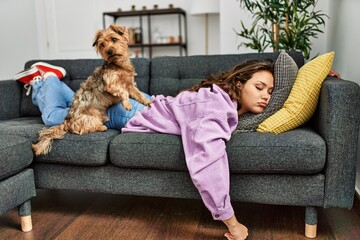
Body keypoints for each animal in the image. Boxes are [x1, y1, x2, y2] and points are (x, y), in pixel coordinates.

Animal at [32, 24, 152, 156]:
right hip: (91, 117)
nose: (109, 51)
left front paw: (148, 102)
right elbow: (123, 92)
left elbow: (138, 94)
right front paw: (127, 104)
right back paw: (101, 127)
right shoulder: (110, 85)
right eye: (102, 45)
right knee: (81, 130)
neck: (118, 65)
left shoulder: (130, 85)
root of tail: (66, 121)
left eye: (114, 39)